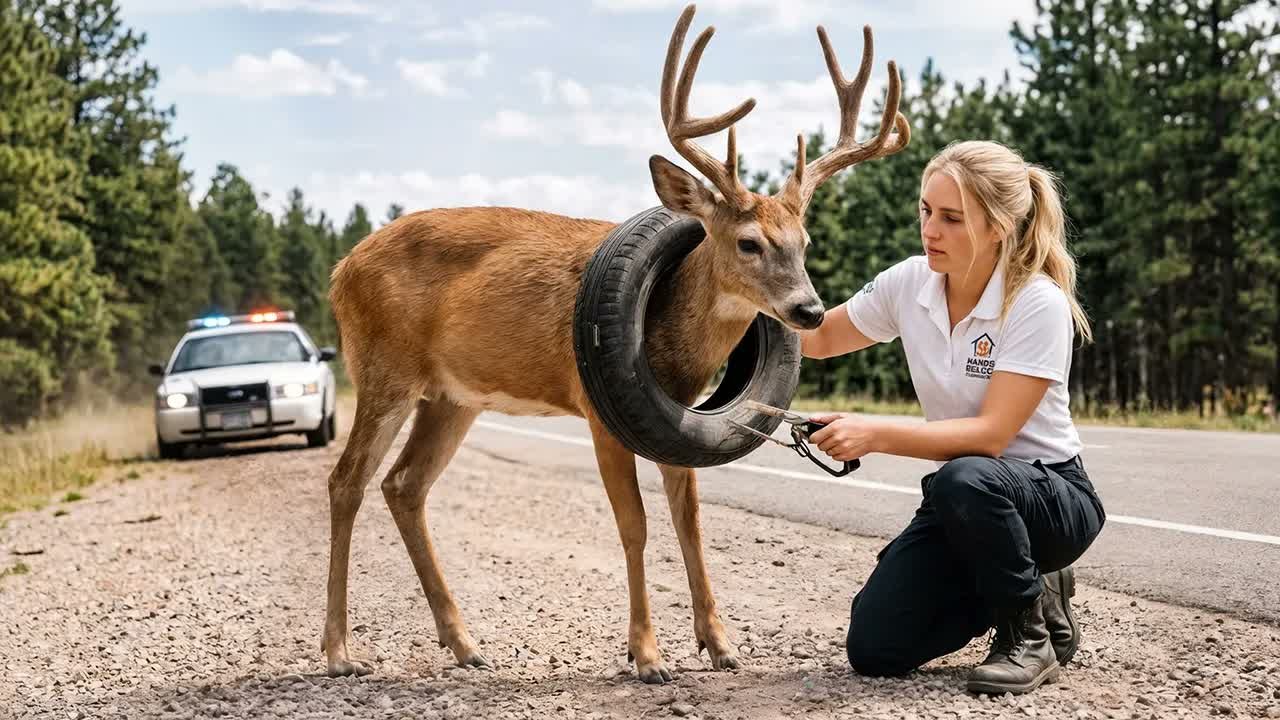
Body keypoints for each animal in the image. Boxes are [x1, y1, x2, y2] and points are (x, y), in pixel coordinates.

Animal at [321, 3, 910, 683]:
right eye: (748, 242)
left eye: (805, 243)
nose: (808, 310)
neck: (668, 342)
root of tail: (341, 268)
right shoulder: (602, 413)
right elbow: (636, 525)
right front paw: (648, 655)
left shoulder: (680, 421)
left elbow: (690, 523)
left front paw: (721, 644)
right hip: (383, 368)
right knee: (347, 480)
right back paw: (340, 652)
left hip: (451, 396)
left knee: (403, 485)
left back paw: (464, 643)